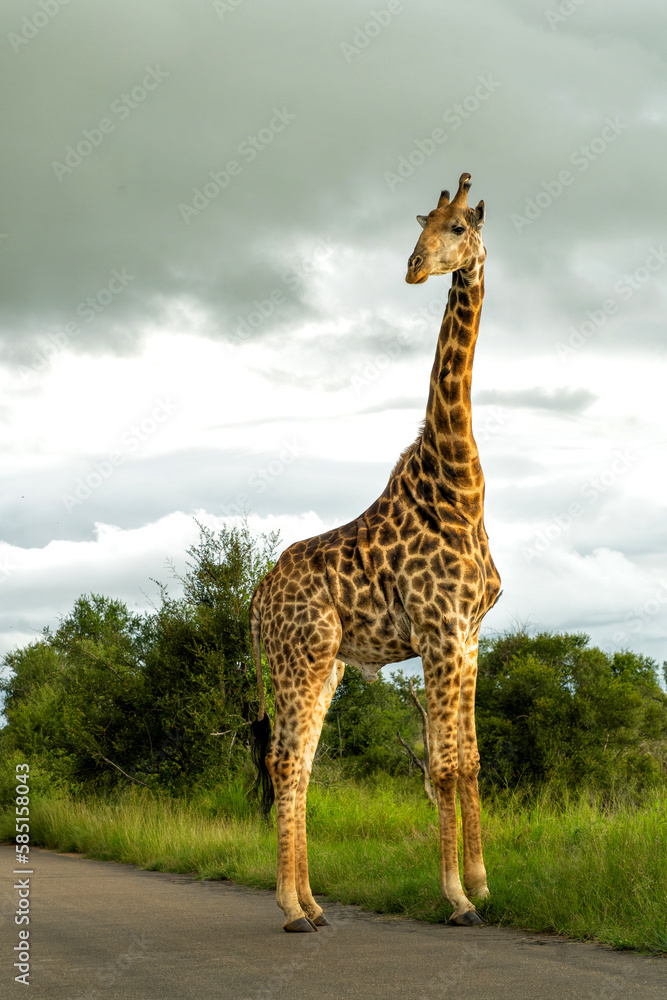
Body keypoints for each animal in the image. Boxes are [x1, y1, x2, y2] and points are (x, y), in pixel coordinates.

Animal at [250, 172, 501, 932]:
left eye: (459, 228)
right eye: (424, 226)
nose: (413, 267)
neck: (460, 485)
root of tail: (254, 601)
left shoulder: (469, 635)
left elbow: (470, 763)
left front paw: (483, 885)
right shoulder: (438, 631)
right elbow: (442, 768)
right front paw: (455, 899)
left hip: (324, 665)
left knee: (297, 764)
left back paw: (310, 904)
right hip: (300, 660)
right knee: (285, 761)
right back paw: (292, 908)